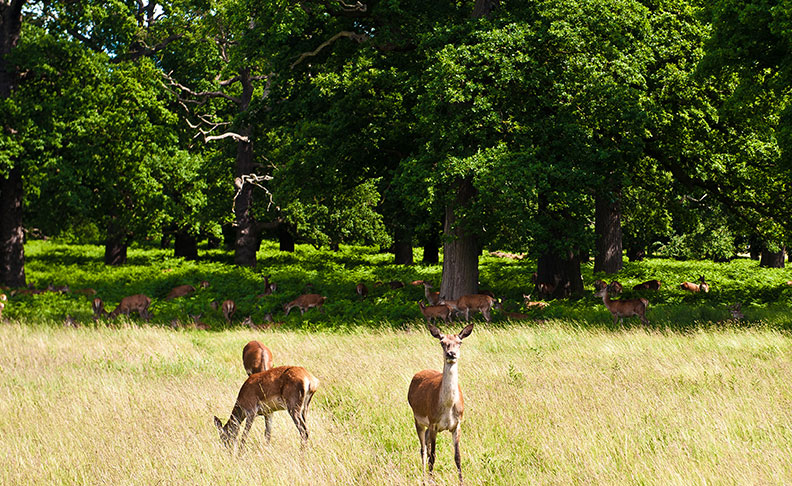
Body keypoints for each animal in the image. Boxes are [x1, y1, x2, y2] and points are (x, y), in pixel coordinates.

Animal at [406, 322, 474, 486]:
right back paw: (424, 477)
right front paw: (431, 480)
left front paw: (462, 481)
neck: (448, 407)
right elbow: (433, 456)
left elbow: (457, 457)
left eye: (459, 342)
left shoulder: (457, 424)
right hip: (417, 418)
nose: (451, 354)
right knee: (423, 449)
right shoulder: (433, 422)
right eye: (442, 342)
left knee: (426, 445)